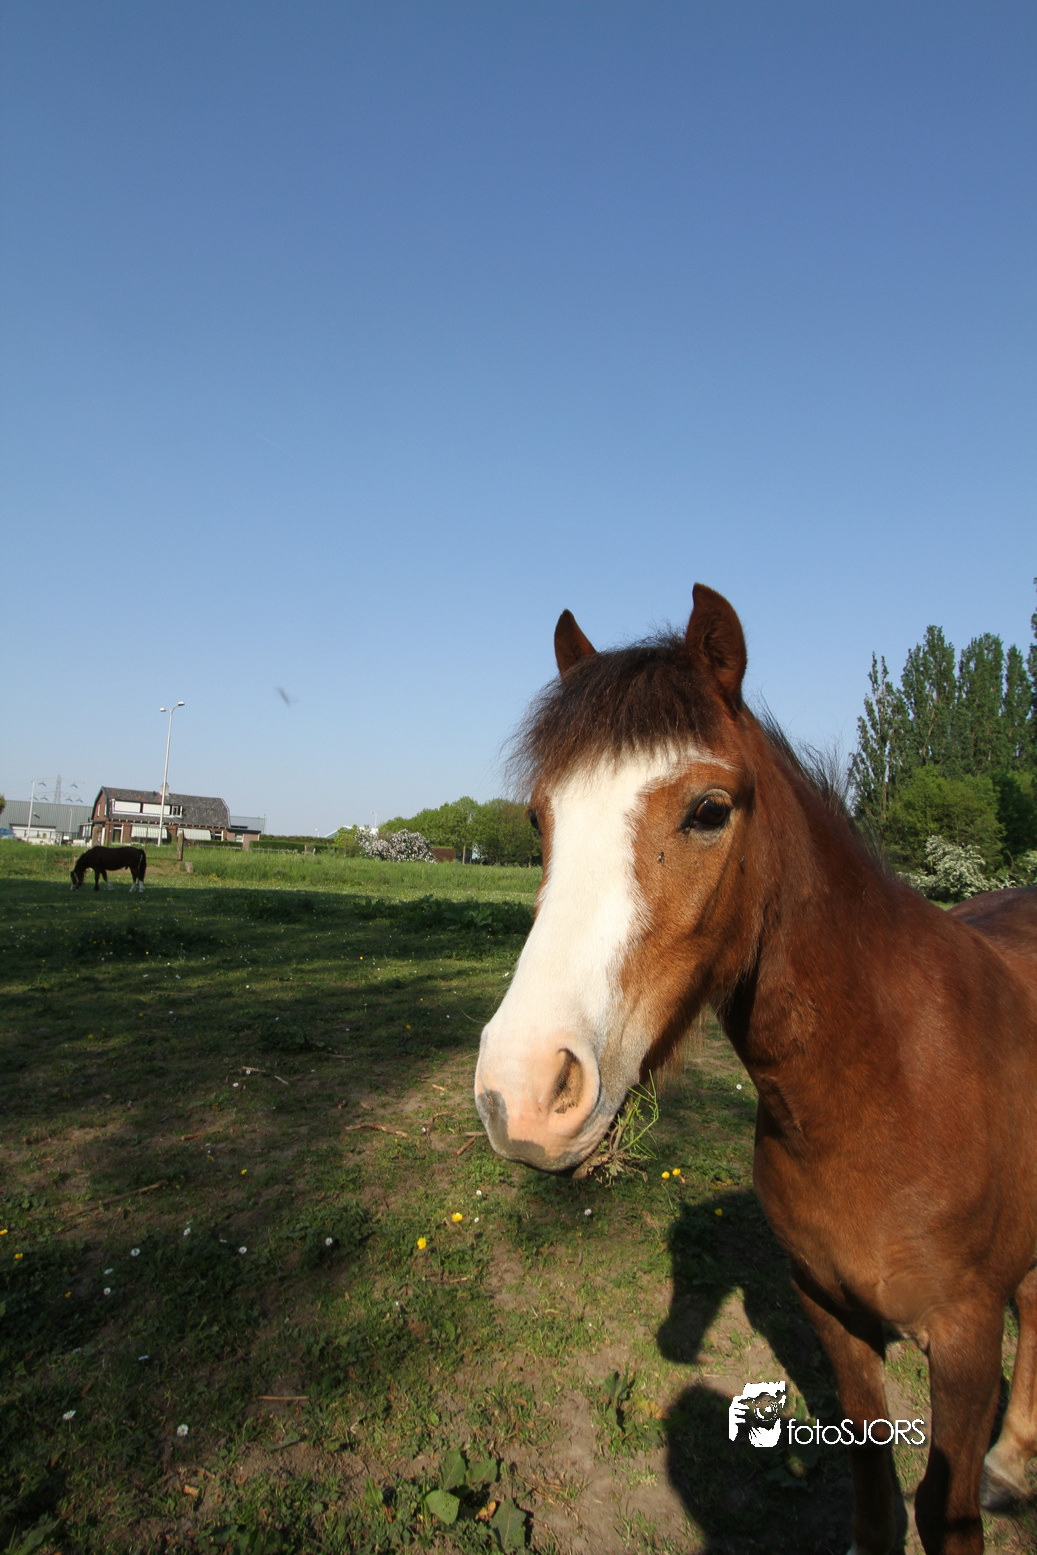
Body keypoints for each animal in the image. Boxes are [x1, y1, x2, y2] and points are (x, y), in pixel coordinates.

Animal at [474, 585, 1037, 1555]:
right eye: (539, 819)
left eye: (708, 809)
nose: (521, 1090)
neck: (882, 1086)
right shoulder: (830, 1311)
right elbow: (871, 1479)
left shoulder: (964, 1342)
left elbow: (944, 1507)